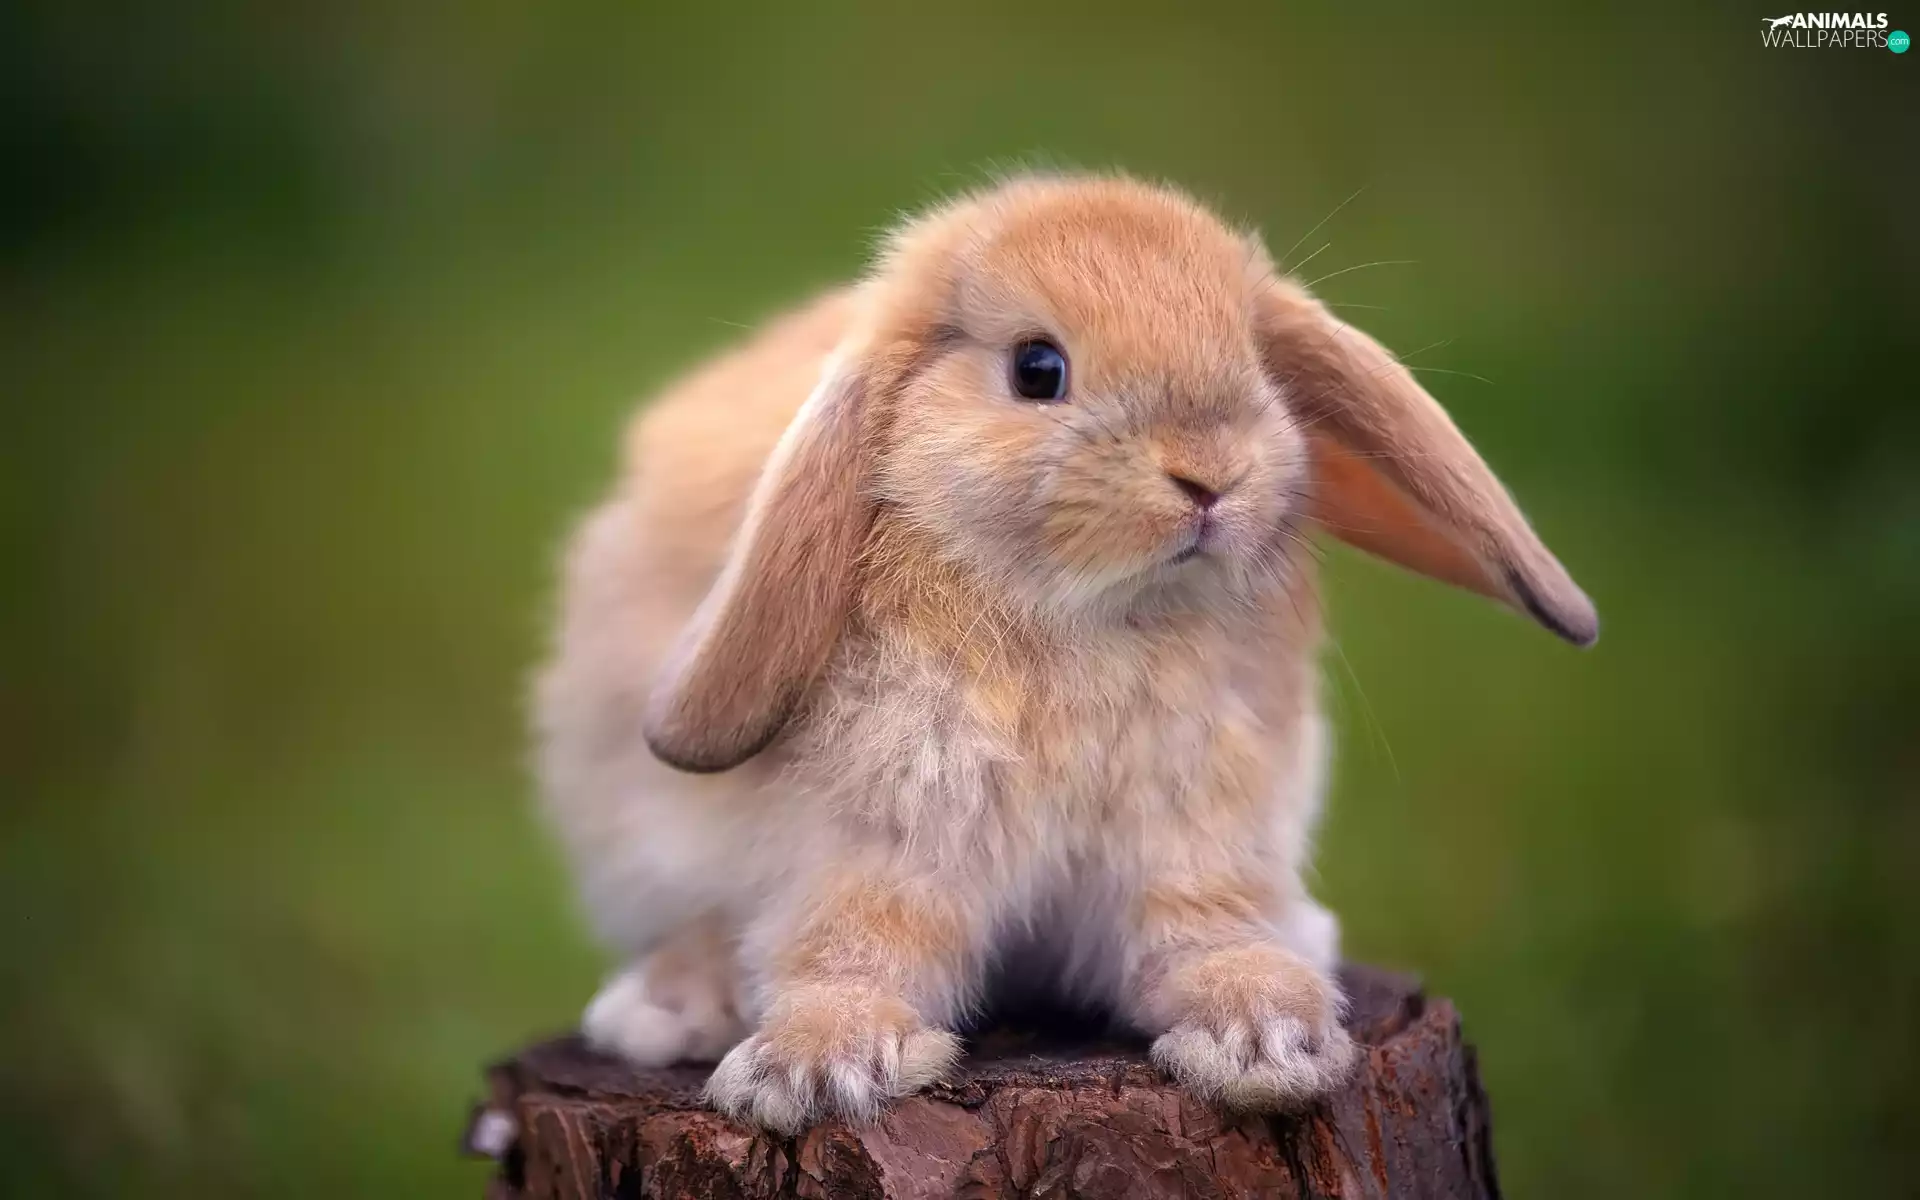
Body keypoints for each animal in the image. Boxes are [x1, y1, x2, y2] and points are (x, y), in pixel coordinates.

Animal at [534, 172, 1597, 1133]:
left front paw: (1267, 1040)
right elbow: (854, 948)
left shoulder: (1196, 835)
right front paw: (808, 1073)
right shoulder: (884, 839)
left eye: (1255, 359)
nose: (1211, 475)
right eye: (1037, 368)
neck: (1094, 617)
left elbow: (1202, 938)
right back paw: (666, 1010)